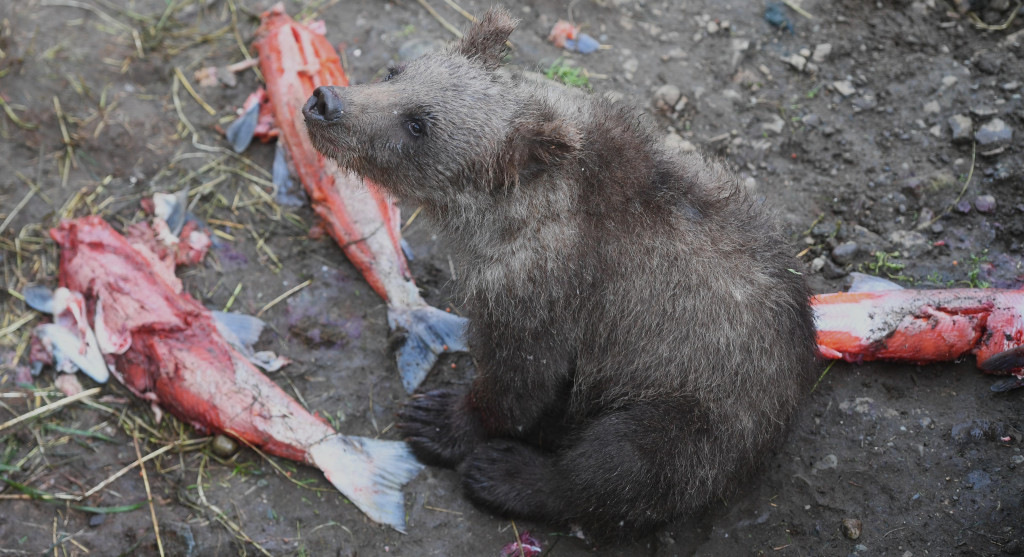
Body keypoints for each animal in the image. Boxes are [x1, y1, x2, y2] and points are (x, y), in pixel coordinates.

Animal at [302, 7, 818, 541]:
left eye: (418, 124)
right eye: (395, 73)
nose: (325, 101)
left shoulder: (546, 292)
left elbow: (519, 379)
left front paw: (439, 419)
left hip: (706, 406)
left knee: (627, 464)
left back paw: (506, 475)